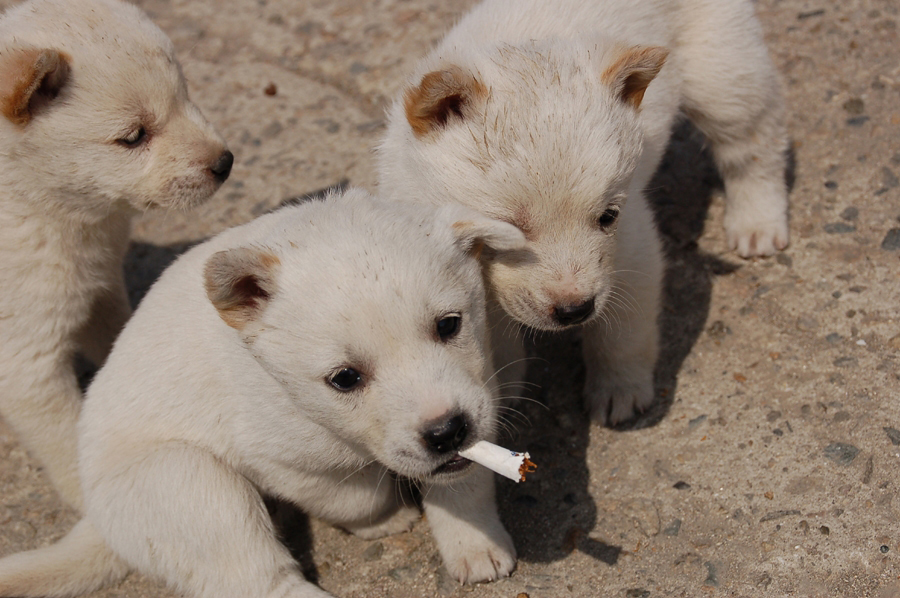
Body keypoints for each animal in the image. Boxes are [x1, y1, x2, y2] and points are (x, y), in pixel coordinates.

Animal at [0, 0, 232, 509]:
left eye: (186, 95)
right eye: (133, 136)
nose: (225, 163)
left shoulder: (101, 288)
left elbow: (119, 346)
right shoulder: (25, 363)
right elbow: (68, 442)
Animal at [0, 188, 524, 597]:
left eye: (449, 325)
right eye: (345, 378)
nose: (446, 431)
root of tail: (98, 519)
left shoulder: (482, 389)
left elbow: (466, 481)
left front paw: (476, 546)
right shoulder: (281, 460)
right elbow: (354, 497)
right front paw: (385, 519)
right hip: (184, 484)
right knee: (255, 577)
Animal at [377, 0, 790, 424]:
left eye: (607, 216)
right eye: (508, 228)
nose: (575, 310)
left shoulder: (633, 247)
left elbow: (622, 332)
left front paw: (619, 391)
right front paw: (503, 394)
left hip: (722, 68)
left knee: (753, 141)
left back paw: (757, 222)